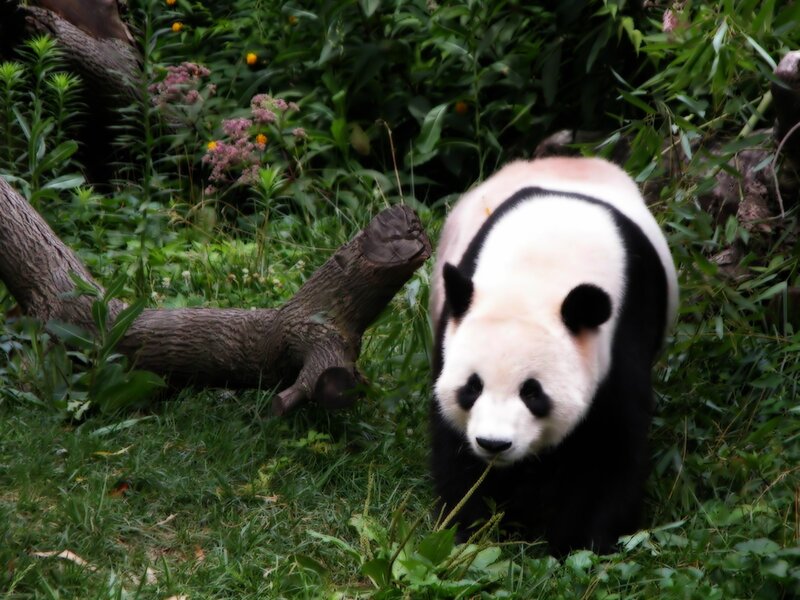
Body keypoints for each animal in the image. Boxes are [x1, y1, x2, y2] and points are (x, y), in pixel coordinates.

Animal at [429, 156, 678, 556]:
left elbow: (608, 449)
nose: (494, 444)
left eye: (533, 392)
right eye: (472, 387)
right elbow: (455, 446)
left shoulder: (622, 334)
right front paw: (472, 529)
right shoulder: (451, 335)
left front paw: (580, 543)